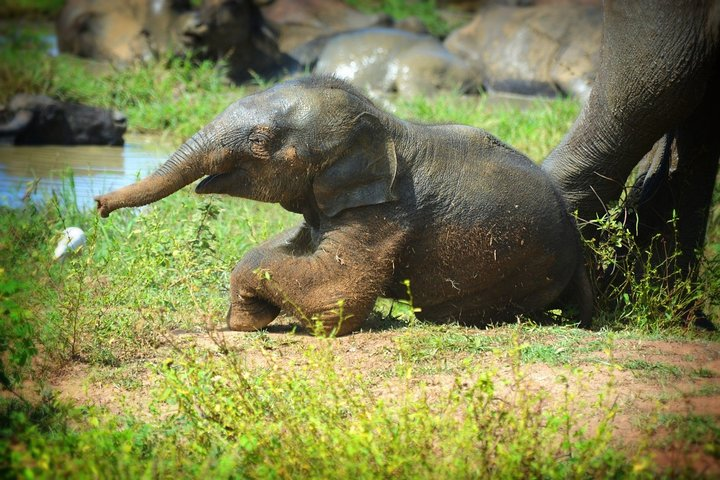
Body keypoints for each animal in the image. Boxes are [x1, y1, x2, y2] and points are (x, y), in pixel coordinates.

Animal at [94, 77, 592, 336]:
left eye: (260, 142)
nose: (98, 204)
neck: (386, 123)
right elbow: (292, 245)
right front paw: (247, 315)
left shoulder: (385, 214)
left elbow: (332, 294)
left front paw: (246, 315)